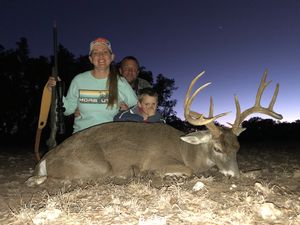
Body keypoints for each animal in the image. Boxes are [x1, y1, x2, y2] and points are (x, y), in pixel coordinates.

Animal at [25, 69, 282, 186]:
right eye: (217, 149)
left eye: (237, 147)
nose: (234, 175)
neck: (187, 151)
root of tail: (45, 159)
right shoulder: (160, 160)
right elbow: (185, 171)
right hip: (96, 166)